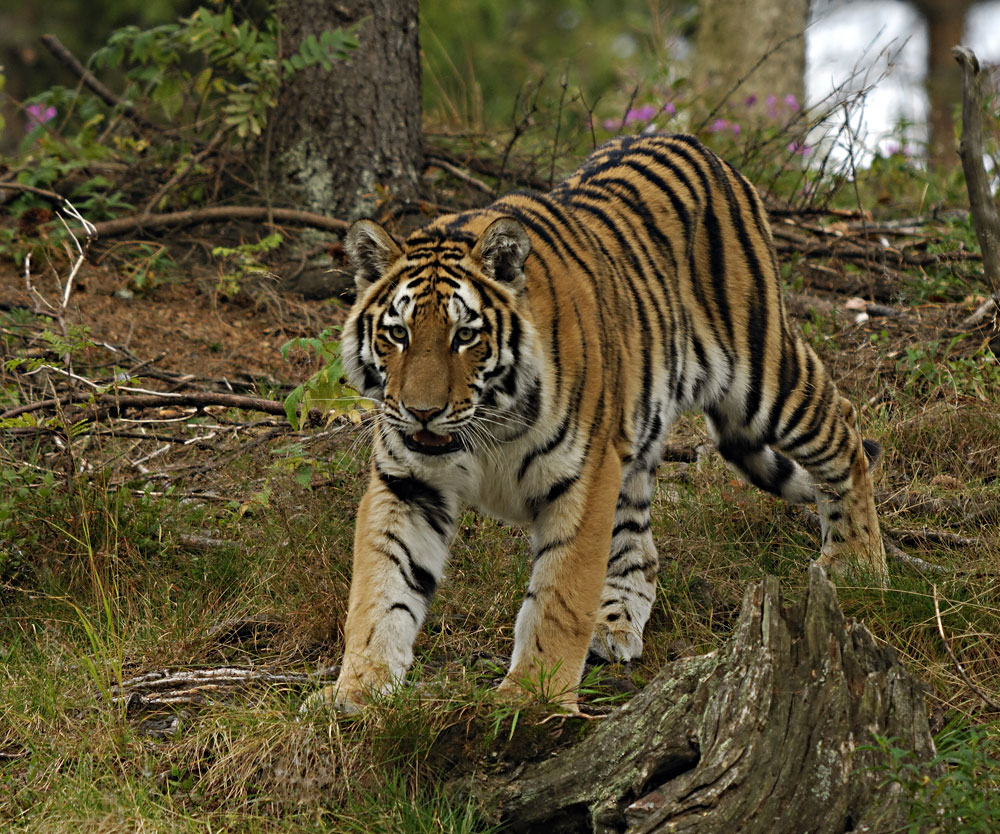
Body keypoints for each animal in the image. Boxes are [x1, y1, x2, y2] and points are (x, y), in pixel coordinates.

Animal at [316, 132, 888, 708]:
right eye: (398, 334)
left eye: (465, 336)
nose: (423, 412)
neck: (487, 427)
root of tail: (693, 141)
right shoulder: (407, 483)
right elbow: (381, 587)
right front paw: (360, 688)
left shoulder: (583, 478)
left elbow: (559, 597)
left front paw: (532, 698)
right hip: (638, 439)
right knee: (641, 546)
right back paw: (614, 625)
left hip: (761, 374)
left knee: (843, 426)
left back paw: (857, 562)